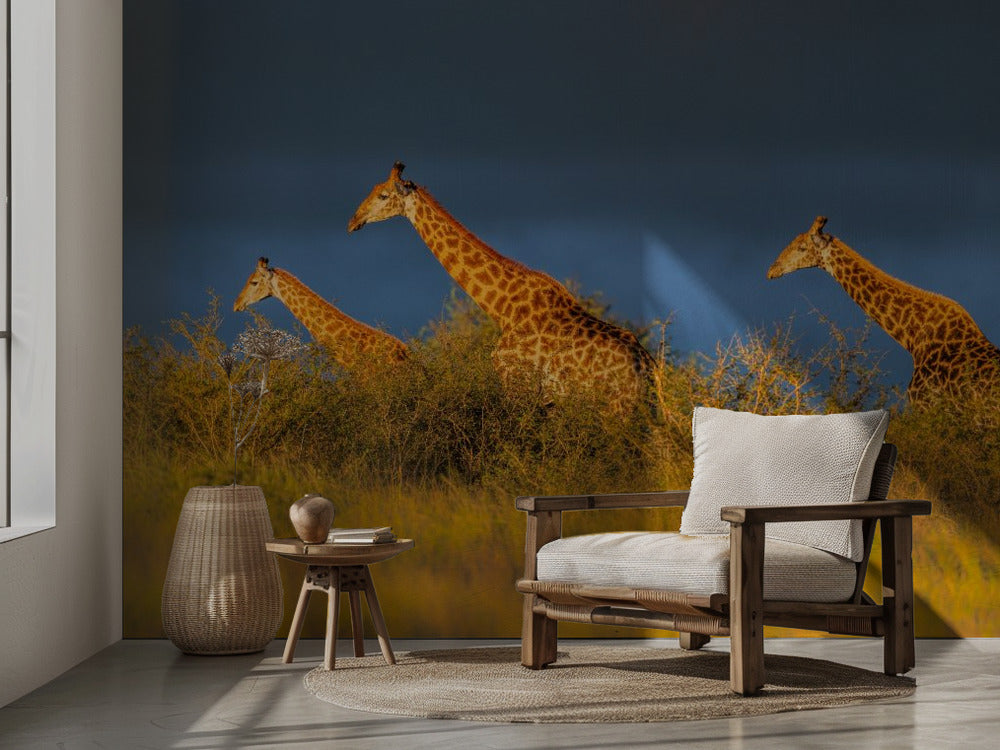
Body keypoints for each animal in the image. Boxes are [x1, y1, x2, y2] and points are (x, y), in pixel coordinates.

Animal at [346, 162, 655, 408]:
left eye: (383, 195)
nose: (353, 221)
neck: (503, 308)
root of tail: (647, 368)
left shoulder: (517, 384)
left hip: (616, 408)